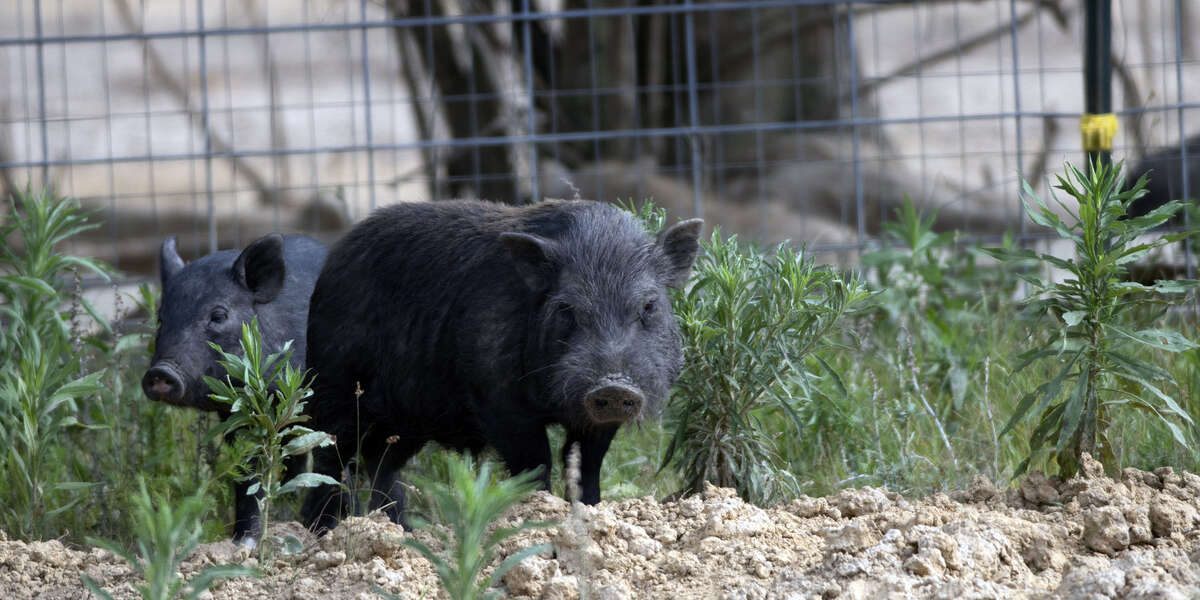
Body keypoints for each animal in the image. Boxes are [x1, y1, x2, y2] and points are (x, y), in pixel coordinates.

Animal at [143, 233, 328, 545]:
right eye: (160, 319)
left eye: (218, 315)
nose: (160, 372)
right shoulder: (235, 416)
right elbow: (246, 472)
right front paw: (242, 542)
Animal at [298, 200, 702, 533]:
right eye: (566, 309)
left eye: (649, 306)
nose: (614, 386)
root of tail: (333, 261)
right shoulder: (498, 399)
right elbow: (535, 461)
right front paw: (537, 514)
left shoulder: (597, 421)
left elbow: (586, 465)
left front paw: (590, 510)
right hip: (333, 383)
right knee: (328, 456)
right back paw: (322, 531)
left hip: (406, 421)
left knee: (382, 461)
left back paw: (401, 530)